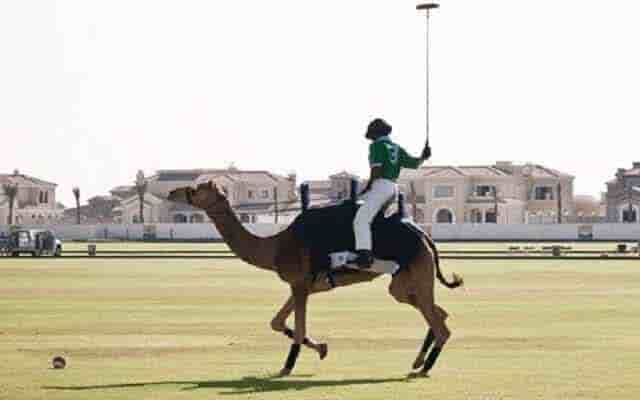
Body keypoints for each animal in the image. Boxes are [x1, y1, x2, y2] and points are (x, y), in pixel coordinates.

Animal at [168, 183, 462, 376]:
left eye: (197, 189)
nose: (173, 192)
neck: (274, 246)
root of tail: (424, 235)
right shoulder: (303, 285)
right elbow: (277, 322)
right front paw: (321, 348)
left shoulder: (299, 283)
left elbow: (297, 328)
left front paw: (287, 367)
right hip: (404, 281)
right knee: (438, 313)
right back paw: (418, 362)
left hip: (416, 272)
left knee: (440, 324)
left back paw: (423, 368)